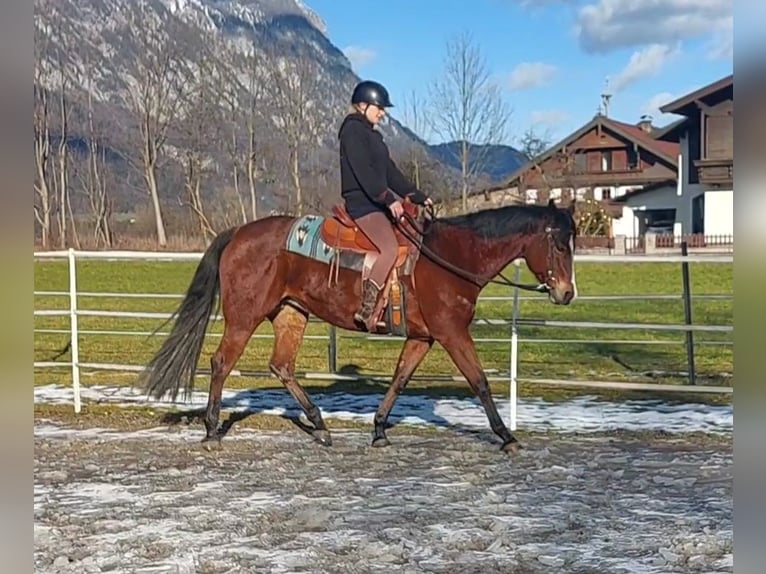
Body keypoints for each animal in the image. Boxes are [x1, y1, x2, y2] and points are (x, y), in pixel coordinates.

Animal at [141, 198, 580, 454]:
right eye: (560, 245)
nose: (566, 293)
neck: (451, 257)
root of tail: (238, 233)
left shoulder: (423, 337)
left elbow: (399, 380)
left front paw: (379, 430)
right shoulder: (452, 333)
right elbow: (480, 382)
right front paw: (506, 436)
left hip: (290, 313)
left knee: (282, 366)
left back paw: (320, 426)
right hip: (244, 317)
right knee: (221, 363)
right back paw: (212, 429)